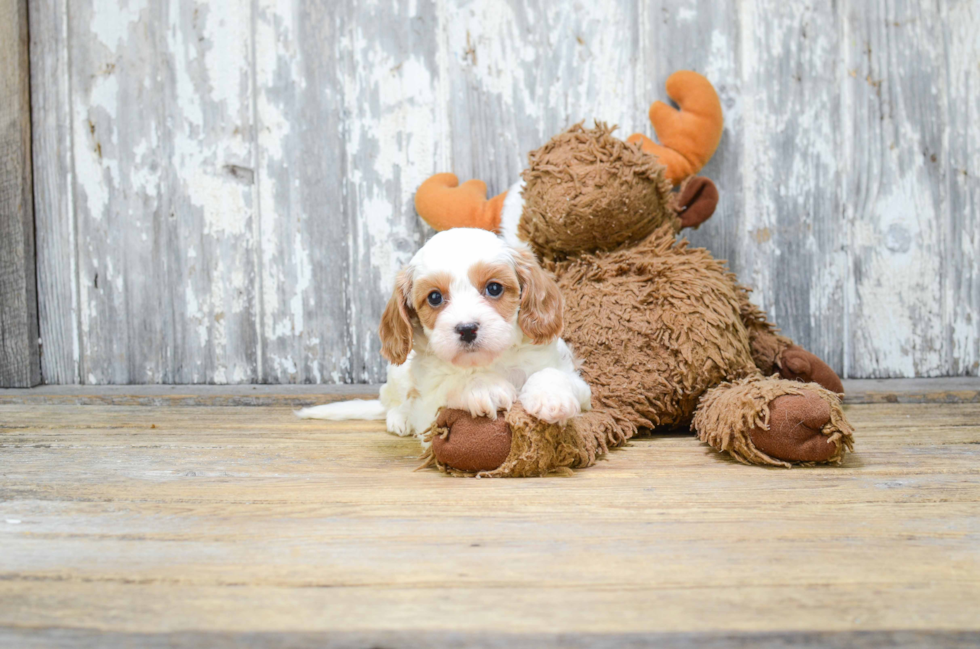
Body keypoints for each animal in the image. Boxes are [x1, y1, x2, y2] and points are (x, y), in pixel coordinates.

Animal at [296, 225, 588, 438]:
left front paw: (551, 397)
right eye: (435, 297)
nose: (467, 329)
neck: (491, 361)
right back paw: (399, 418)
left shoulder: (580, 386)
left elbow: (552, 374)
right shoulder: (428, 407)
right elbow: (450, 385)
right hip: (397, 375)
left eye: (494, 288)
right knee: (392, 401)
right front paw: (483, 387)